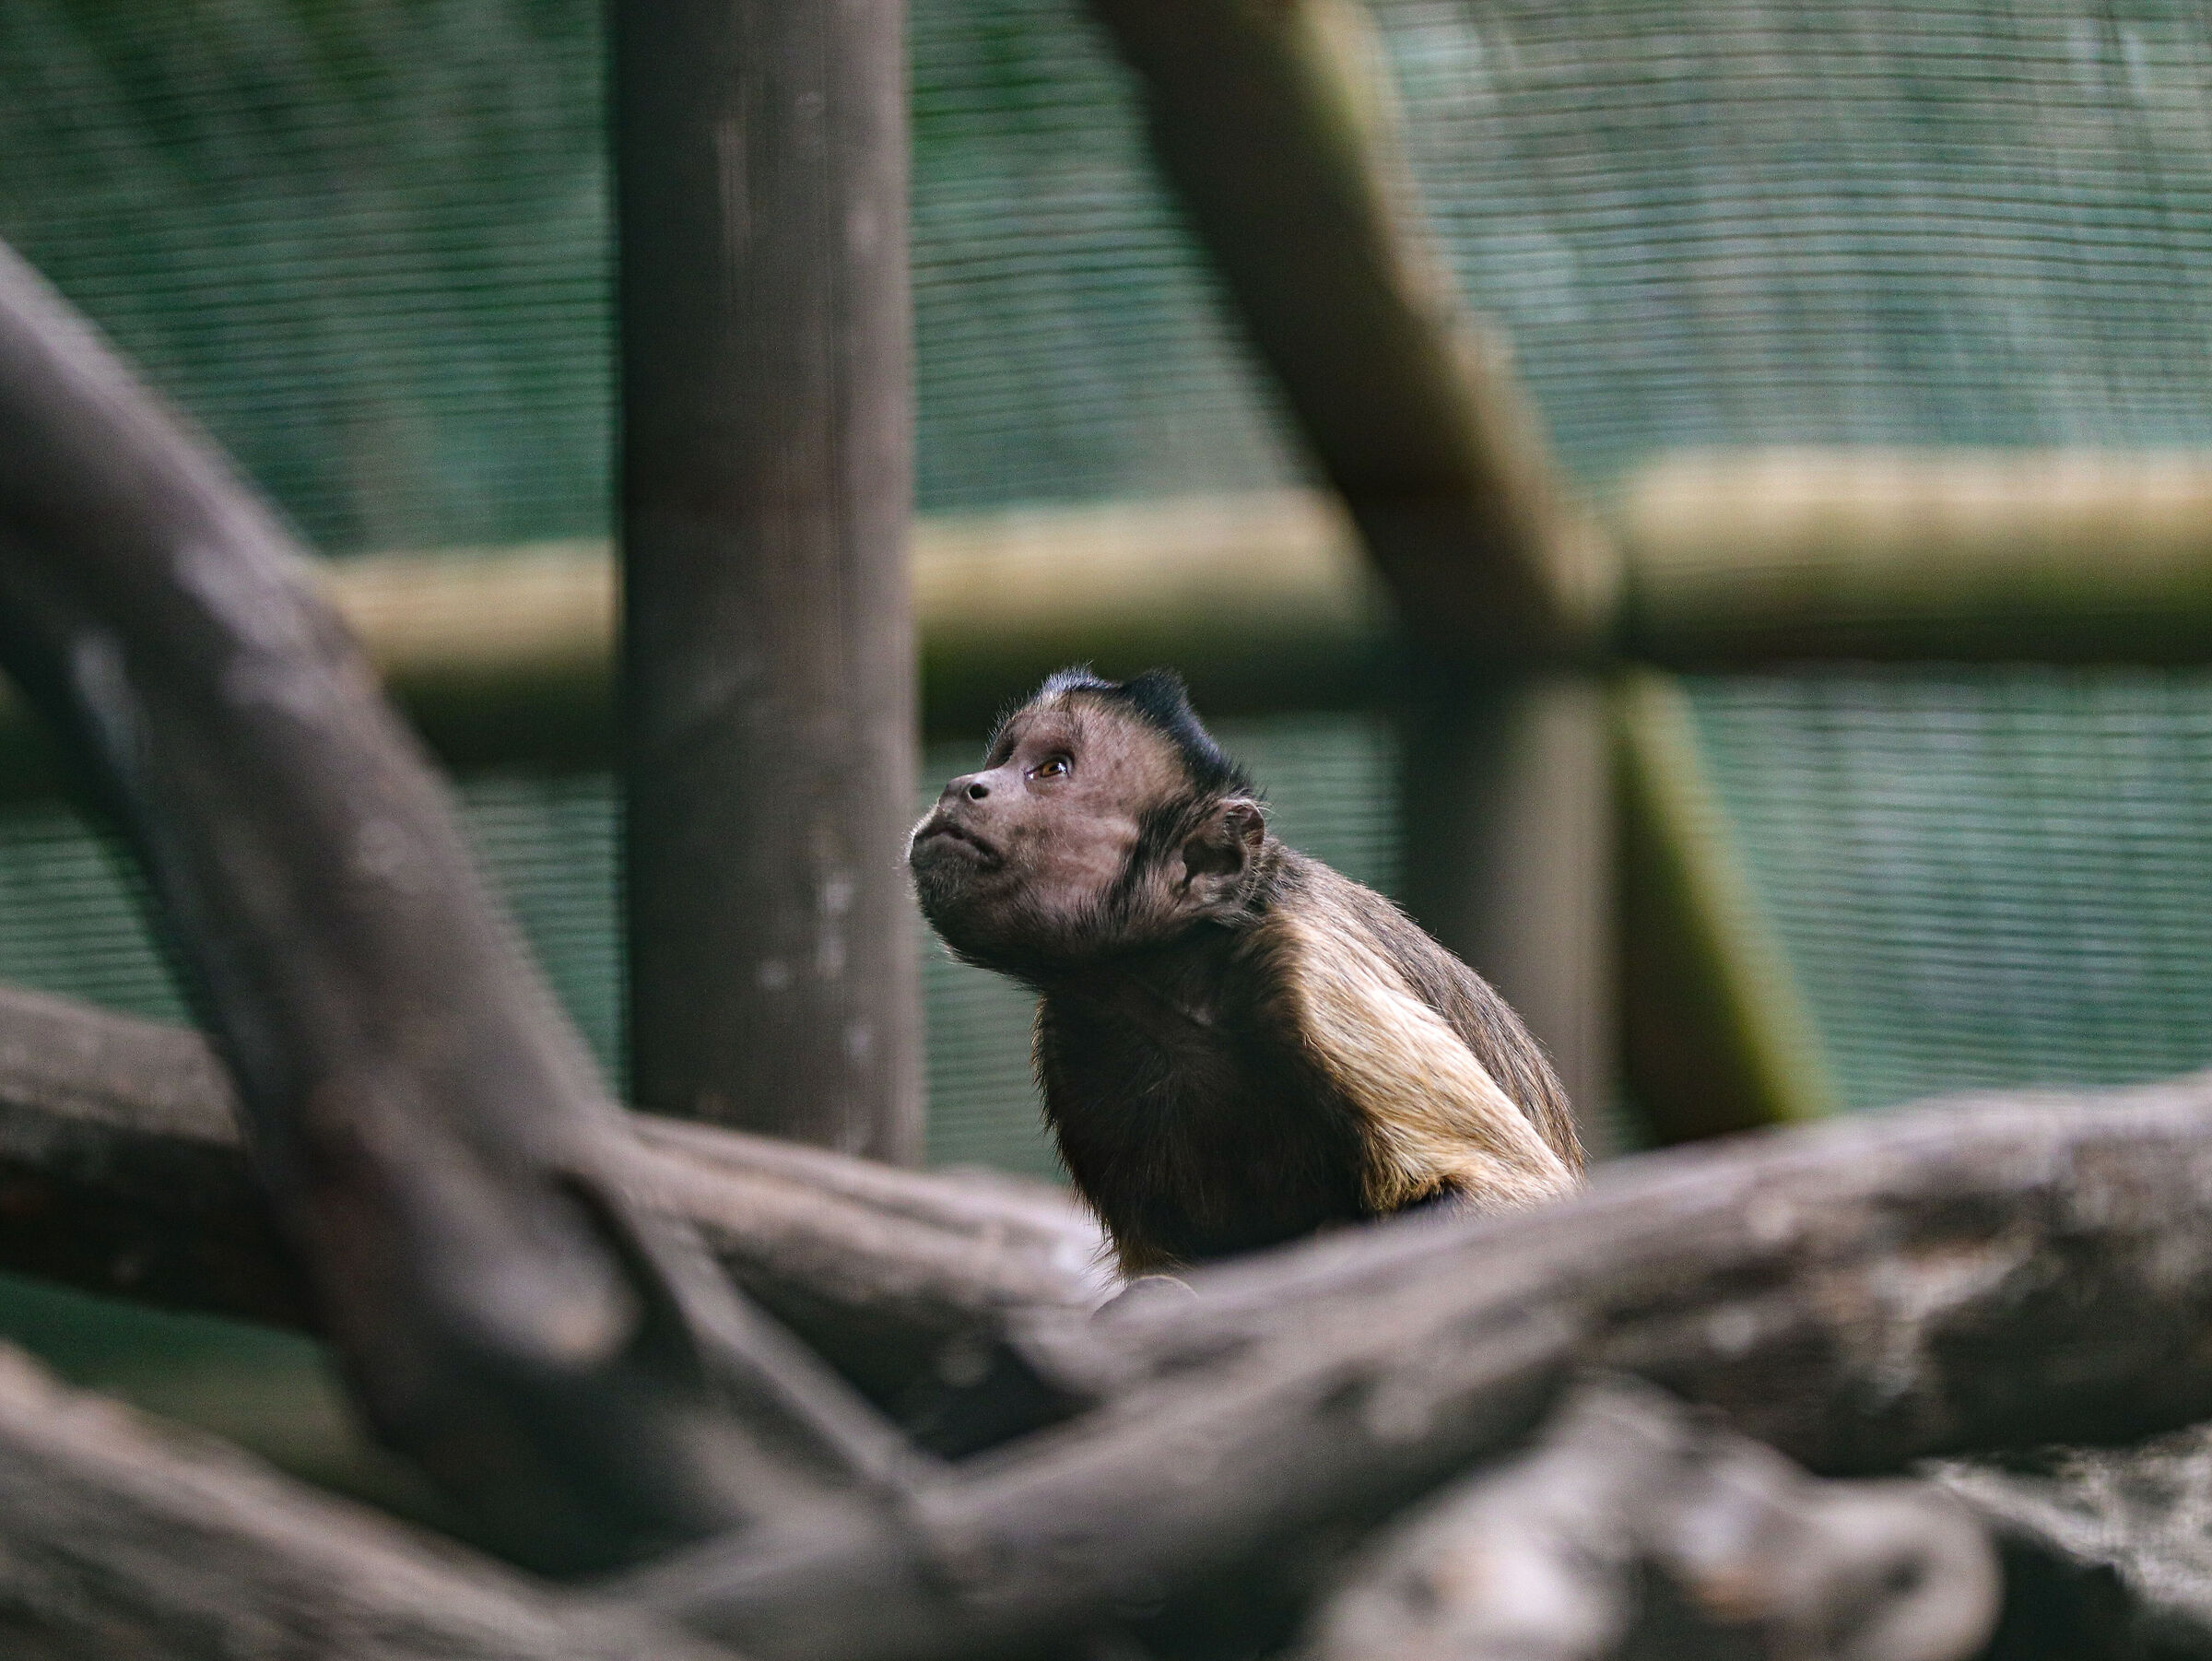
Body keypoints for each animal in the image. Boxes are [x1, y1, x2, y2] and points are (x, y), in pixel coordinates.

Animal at [907, 667, 1583, 1277]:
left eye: (1050, 770)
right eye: (1002, 759)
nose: (965, 785)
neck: (1173, 992)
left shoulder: (1306, 969)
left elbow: (1517, 1200)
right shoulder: (1075, 1043)